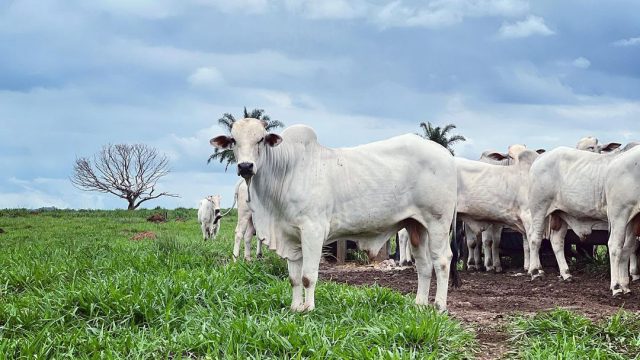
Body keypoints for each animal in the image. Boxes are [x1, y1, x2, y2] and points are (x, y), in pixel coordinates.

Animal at [211, 118, 460, 312]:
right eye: (233, 140)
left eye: (261, 139)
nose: (245, 166)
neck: (287, 170)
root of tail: (447, 155)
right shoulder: (290, 236)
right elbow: (293, 278)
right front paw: (295, 307)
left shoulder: (312, 230)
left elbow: (308, 276)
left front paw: (308, 309)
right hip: (415, 224)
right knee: (424, 264)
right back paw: (419, 304)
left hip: (438, 222)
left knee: (442, 261)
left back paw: (439, 306)